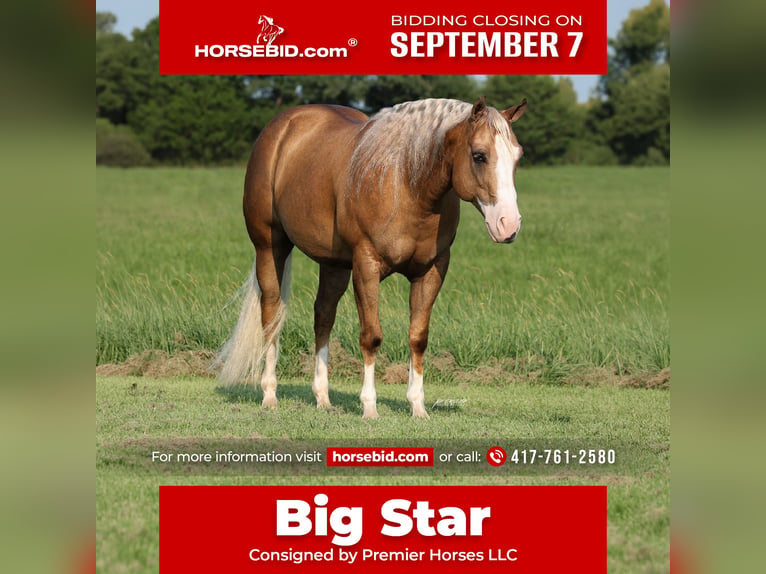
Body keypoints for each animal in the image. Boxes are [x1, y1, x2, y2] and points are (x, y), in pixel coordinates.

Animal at [216, 96, 527, 418]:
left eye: (518, 156)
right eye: (479, 155)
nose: (509, 225)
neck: (406, 182)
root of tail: (281, 127)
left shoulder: (431, 270)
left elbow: (418, 337)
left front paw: (418, 407)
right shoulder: (366, 266)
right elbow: (371, 336)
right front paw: (369, 407)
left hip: (334, 265)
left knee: (323, 317)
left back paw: (323, 398)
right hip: (270, 246)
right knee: (272, 314)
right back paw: (269, 394)